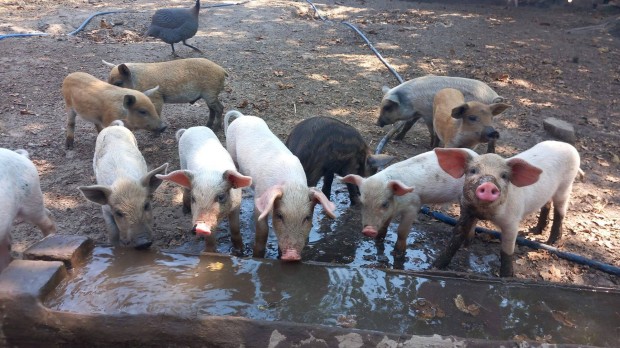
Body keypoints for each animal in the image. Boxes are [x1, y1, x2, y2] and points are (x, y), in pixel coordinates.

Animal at [77, 121, 170, 249]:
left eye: (146, 205)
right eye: (118, 213)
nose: (143, 242)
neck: (123, 181)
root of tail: (114, 126)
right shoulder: (105, 209)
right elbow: (113, 232)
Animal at [155, 126, 252, 254]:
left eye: (221, 197)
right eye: (194, 198)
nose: (200, 227)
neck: (210, 172)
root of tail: (191, 129)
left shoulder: (237, 204)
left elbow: (235, 228)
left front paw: (240, 251)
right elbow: (210, 238)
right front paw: (209, 253)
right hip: (182, 161)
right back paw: (185, 211)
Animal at [224, 110, 336, 260]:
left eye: (307, 217)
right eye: (279, 215)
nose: (292, 255)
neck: (291, 183)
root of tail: (242, 117)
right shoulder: (261, 195)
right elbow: (263, 230)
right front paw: (258, 256)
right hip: (231, 149)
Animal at [340, 148, 480, 254]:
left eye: (384, 203)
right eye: (362, 203)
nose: (368, 230)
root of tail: (476, 155)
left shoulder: (413, 207)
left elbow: (402, 231)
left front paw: (398, 252)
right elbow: (384, 225)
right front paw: (378, 239)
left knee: (473, 217)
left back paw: (467, 242)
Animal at [432, 141, 580, 278]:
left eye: (504, 176)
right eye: (473, 171)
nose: (488, 184)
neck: (485, 213)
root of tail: (568, 146)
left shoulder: (512, 222)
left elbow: (507, 251)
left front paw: (507, 277)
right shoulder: (467, 211)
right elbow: (456, 238)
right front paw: (436, 266)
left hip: (565, 186)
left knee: (560, 211)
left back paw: (552, 241)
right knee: (546, 204)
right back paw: (536, 230)